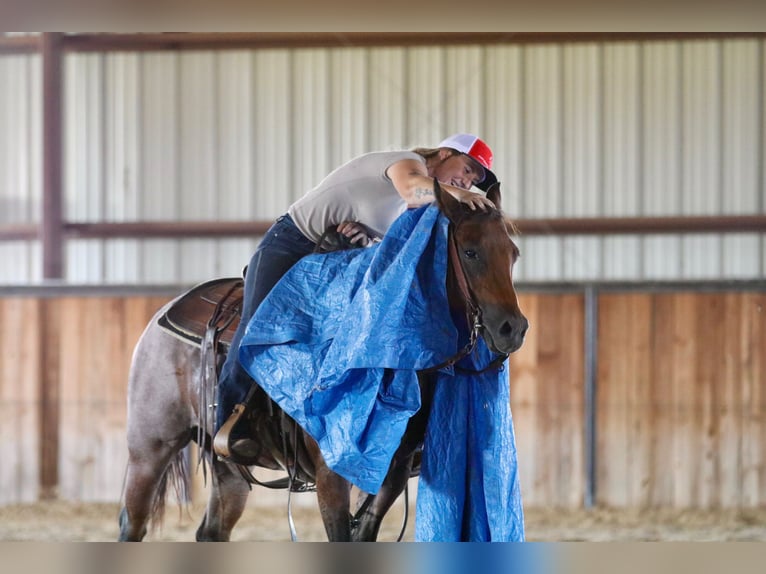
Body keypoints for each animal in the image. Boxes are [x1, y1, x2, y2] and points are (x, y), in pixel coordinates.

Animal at [117, 180, 528, 542]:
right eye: (470, 252)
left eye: (513, 253)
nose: (513, 328)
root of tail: (166, 312)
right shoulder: (331, 479)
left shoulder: (389, 476)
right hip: (150, 448)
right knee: (132, 523)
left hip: (229, 470)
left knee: (212, 532)